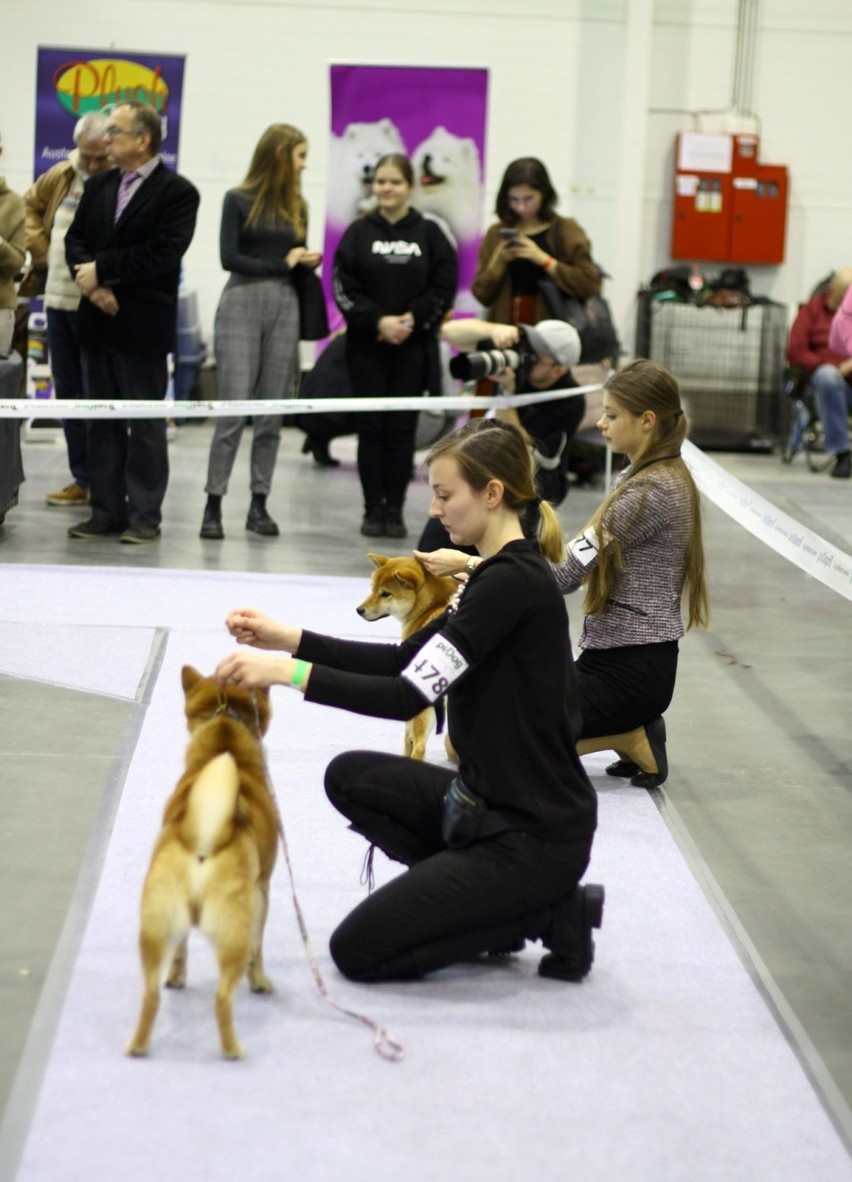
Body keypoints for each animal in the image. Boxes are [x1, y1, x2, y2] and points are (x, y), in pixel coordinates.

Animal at [124, 666, 277, 1063]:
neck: (226, 727)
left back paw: (139, 1045)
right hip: (233, 932)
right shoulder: (263, 890)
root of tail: (203, 843)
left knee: (151, 993)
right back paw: (233, 1049)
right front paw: (261, 981)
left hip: (156, 925)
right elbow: (259, 950)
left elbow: (181, 954)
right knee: (223, 997)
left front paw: (177, 978)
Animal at [354, 550, 458, 761]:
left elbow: (407, 738)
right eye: (372, 588)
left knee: (419, 746)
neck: (429, 606)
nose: (359, 610)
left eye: (385, 594)